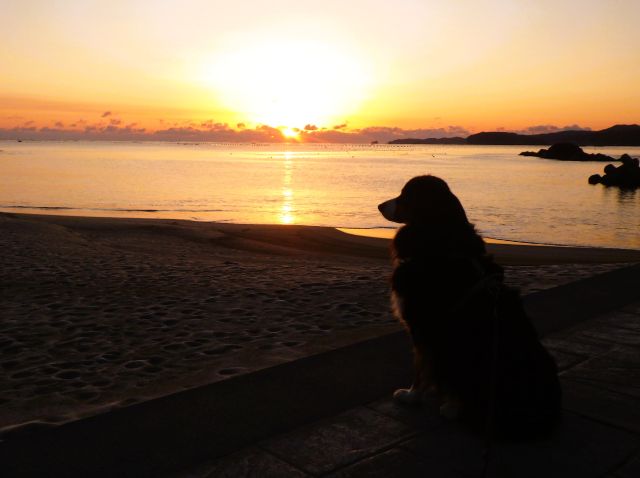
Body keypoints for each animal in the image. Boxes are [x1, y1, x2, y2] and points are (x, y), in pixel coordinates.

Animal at [378, 175, 561, 440]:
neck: (440, 239)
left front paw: (414, 396)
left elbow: (421, 367)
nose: (380, 206)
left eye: (406, 195)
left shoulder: (424, 327)